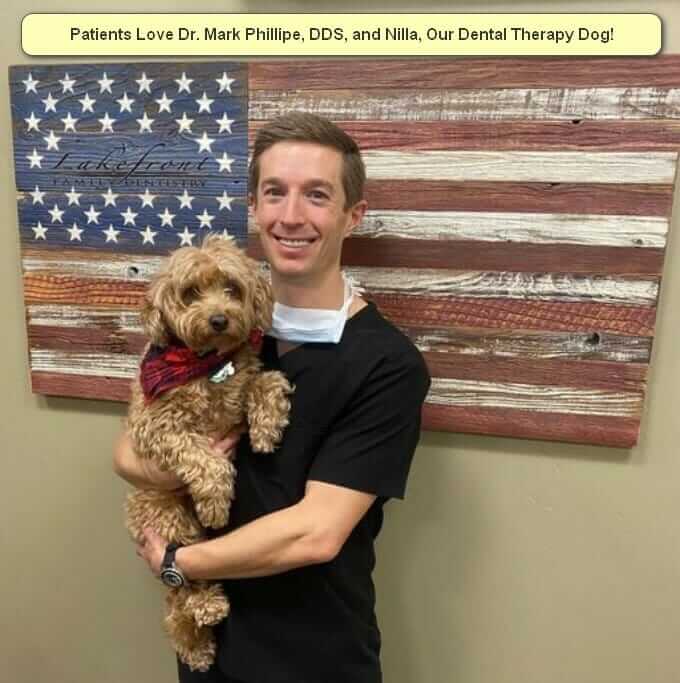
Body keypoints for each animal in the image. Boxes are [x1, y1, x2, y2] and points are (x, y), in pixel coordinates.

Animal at [125, 232, 292, 672]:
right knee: (181, 581)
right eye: (191, 293)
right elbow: (205, 457)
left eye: (231, 288)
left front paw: (266, 428)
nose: (219, 320)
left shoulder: (243, 385)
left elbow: (267, 381)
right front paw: (216, 501)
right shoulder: (155, 426)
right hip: (169, 518)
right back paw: (203, 612)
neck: (207, 364)